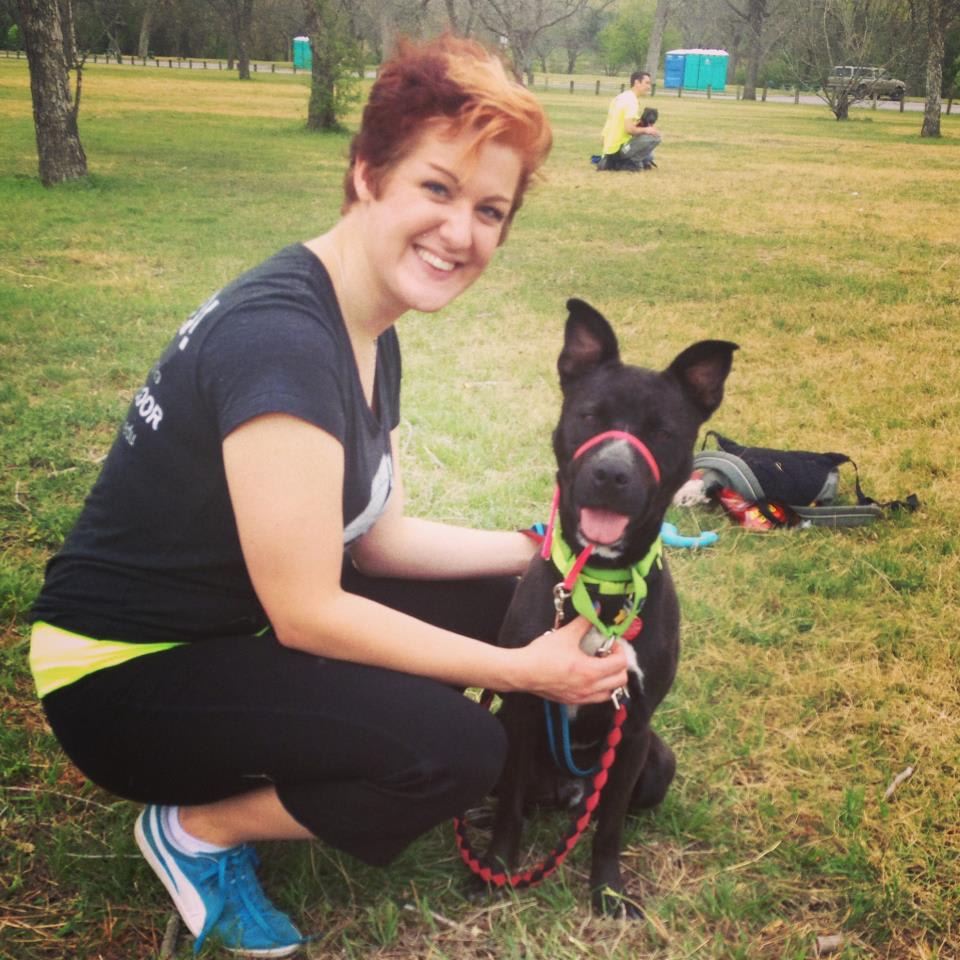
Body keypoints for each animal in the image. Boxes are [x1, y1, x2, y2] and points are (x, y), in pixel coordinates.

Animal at [478, 300, 736, 916]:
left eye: (662, 431)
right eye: (591, 415)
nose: (612, 473)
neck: (601, 583)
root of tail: (568, 790)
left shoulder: (636, 724)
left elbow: (611, 825)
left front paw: (608, 889)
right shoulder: (522, 709)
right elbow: (509, 813)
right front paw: (496, 866)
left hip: (658, 761)